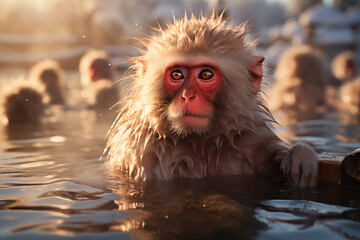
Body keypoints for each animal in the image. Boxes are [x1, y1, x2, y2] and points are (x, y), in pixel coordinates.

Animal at [105, 14, 320, 188]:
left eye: (206, 74)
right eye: (176, 75)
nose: (188, 96)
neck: (200, 143)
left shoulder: (253, 141)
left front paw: (299, 154)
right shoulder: (142, 150)